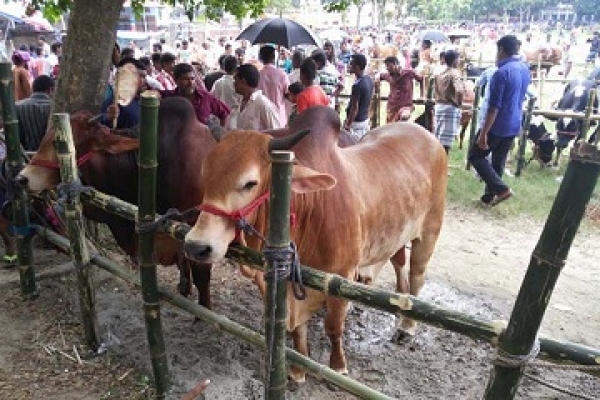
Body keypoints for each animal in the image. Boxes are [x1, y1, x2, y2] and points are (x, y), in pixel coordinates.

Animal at [185, 105, 448, 382]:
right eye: (205, 174)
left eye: (249, 183)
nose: (196, 245)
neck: (309, 210)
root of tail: (423, 133)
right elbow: (297, 330)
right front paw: (298, 370)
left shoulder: (341, 276)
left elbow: (333, 326)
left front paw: (338, 366)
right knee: (398, 263)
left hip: (428, 233)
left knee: (416, 276)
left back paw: (407, 327)